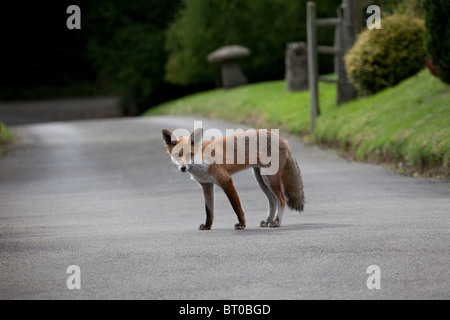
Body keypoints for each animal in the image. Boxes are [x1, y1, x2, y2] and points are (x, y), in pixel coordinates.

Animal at [160, 127, 304, 230]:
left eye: (190, 154)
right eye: (177, 155)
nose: (183, 168)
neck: (201, 162)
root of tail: (282, 138)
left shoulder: (226, 180)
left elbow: (236, 206)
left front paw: (242, 224)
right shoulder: (206, 185)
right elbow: (209, 211)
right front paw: (207, 226)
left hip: (269, 178)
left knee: (282, 199)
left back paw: (277, 222)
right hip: (261, 180)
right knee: (272, 201)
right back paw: (268, 221)